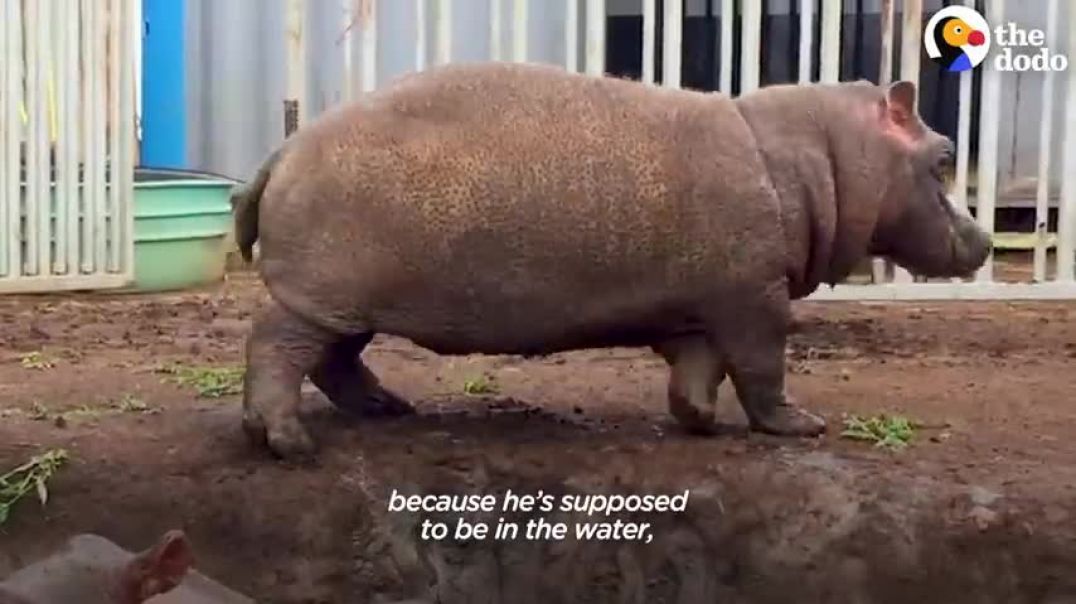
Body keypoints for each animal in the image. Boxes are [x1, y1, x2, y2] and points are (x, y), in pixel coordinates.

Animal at [233, 60, 989, 456]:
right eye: (944, 154)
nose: (983, 239)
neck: (817, 158)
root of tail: (282, 150)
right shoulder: (755, 302)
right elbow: (762, 368)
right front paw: (803, 427)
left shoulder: (702, 308)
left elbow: (698, 372)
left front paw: (701, 423)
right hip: (320, 296)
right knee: (275, 346)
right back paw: (288, 442)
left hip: (345, 302)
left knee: (334, 361)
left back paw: (391, 409)